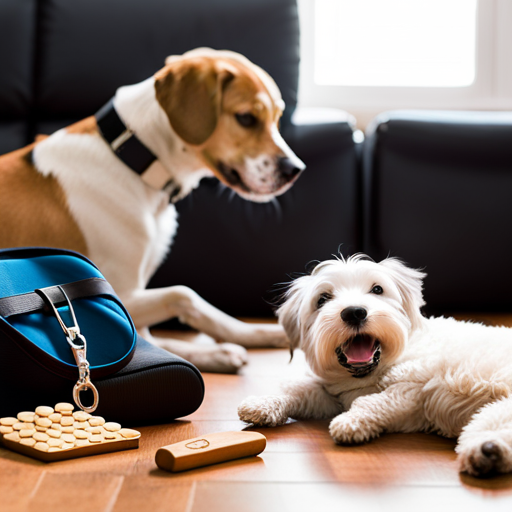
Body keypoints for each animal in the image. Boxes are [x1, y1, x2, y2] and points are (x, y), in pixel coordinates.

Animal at [0, 48, 304, 372]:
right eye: (245, 118)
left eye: (277, 118)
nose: (295, 170)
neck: (131, 161)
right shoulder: (122, 296)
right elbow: (184, 295)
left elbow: (165, 341)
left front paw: (247, 338)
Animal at [238, 254, 512, 478]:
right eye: (322, 299)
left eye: (377, 289)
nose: (354, 312)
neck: (366, 376)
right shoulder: (332, 396)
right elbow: (300, 391)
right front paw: (263, 404)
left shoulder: (409, 391)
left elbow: (373, 402)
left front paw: (352, 421)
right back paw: (488, 453)